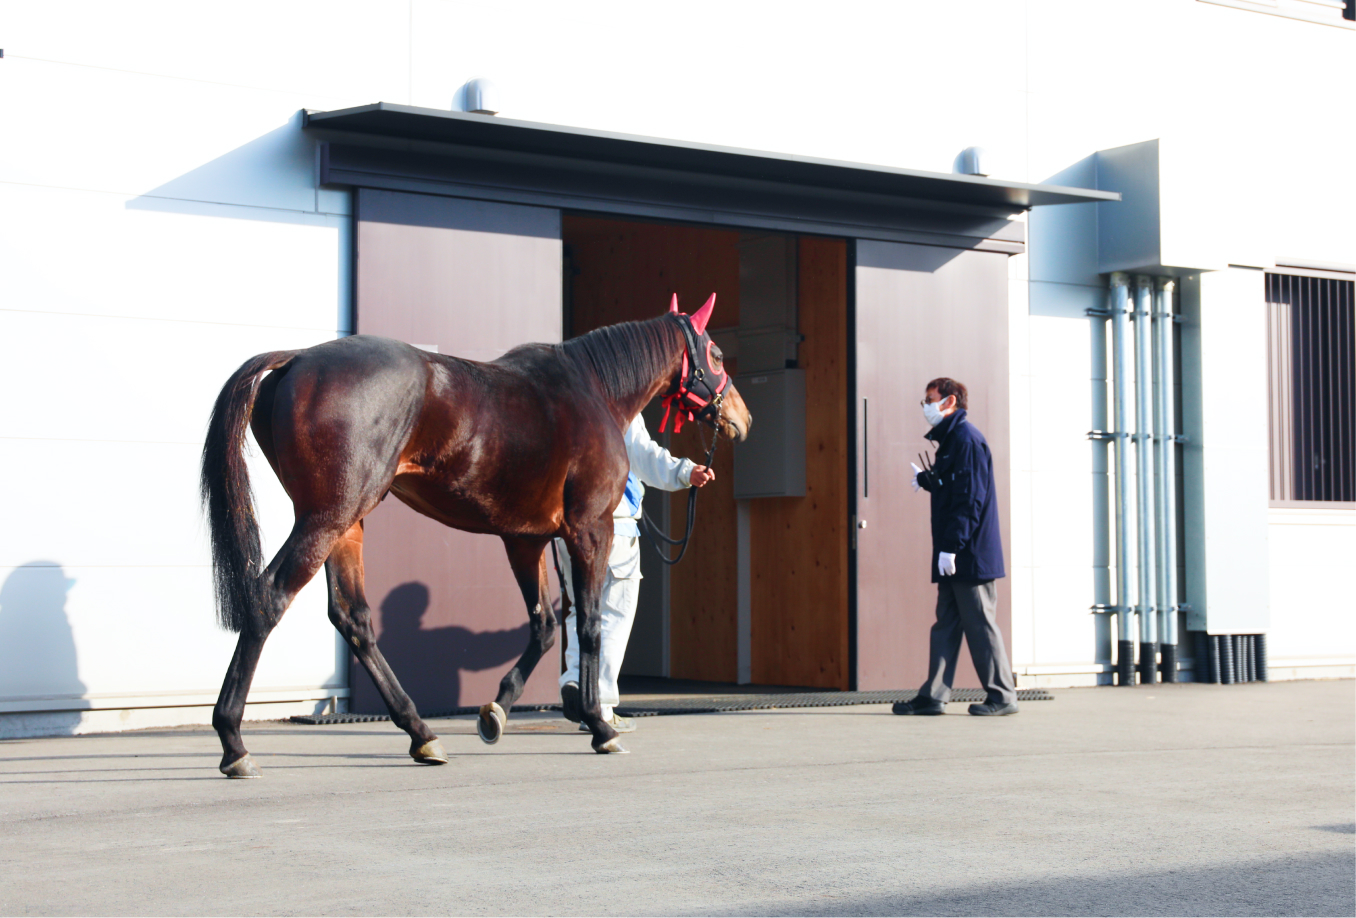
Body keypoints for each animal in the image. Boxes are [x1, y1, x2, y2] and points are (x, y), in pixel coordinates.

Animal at [200, 294, 751, 777]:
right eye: (716, 353)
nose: (741, 418)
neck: (592, 388)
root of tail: (297, 359)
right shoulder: (590, 530)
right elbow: (591, 626)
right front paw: (599, 725)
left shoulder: (526, 540)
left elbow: (545, 626)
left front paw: (496, 711)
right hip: (327, 517)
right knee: (268, 598)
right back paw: (234, 742)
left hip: (346, 525)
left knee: (353, 618)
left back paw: (422, 734)